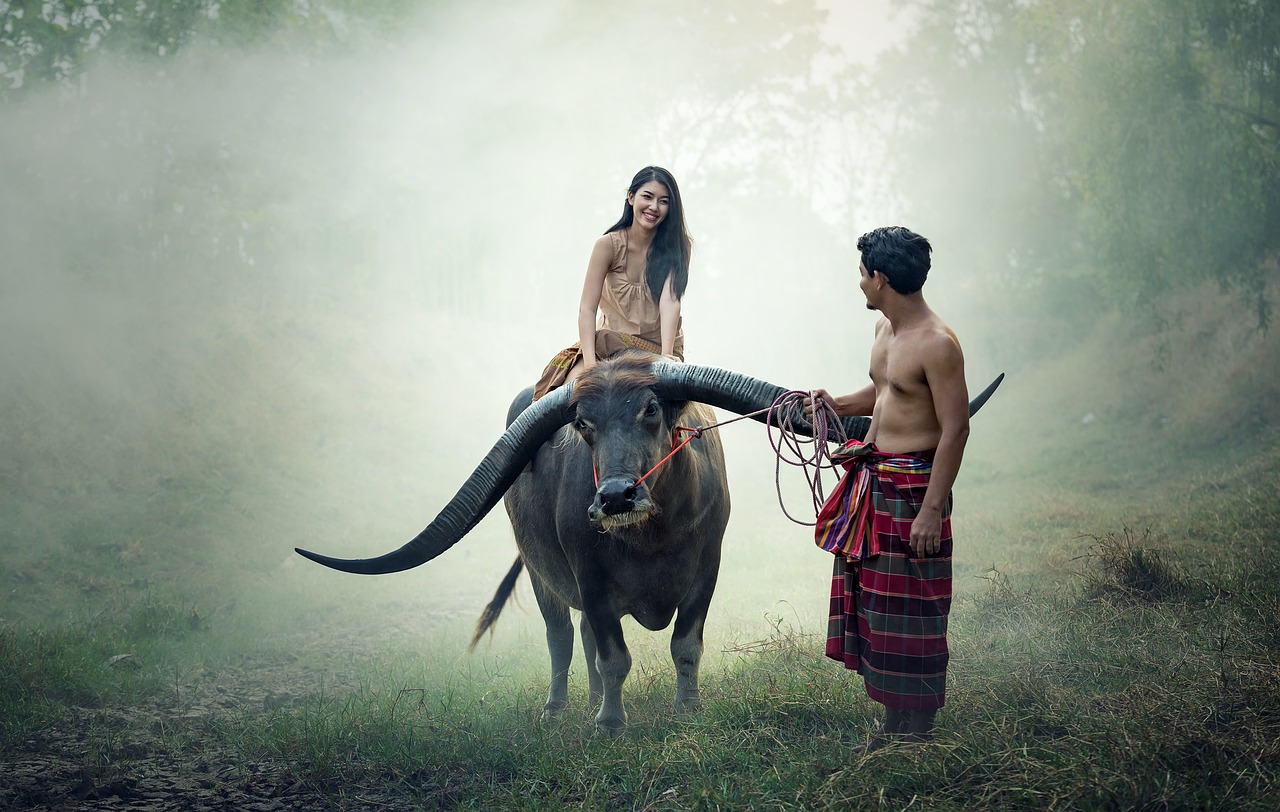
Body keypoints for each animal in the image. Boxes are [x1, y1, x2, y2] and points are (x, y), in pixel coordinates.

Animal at [296, 353, 998, 732]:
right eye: (582, 423)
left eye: (652, 409)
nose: (614, 497)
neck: (653, 535)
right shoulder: (590, 579)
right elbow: (614, 655)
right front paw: (610, 721)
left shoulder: (708, 569)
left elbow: (685, 645)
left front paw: (688, 711)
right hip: (544, 578)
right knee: (562, 638)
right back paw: (560, 710)